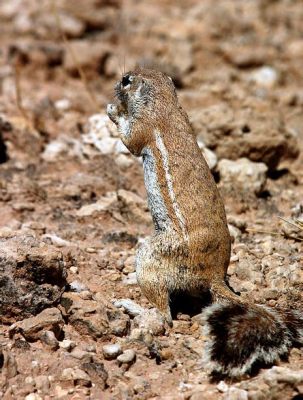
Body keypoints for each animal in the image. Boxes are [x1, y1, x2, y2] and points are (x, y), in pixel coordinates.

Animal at [107, 68, 303, 378]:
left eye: (127, 80)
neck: (164, 101)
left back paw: (132, 307)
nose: (116, 83)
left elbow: (130, 140)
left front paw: (113, 110)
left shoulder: (143, 128)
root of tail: (214, 275)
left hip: (151, 257)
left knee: (164, 315)